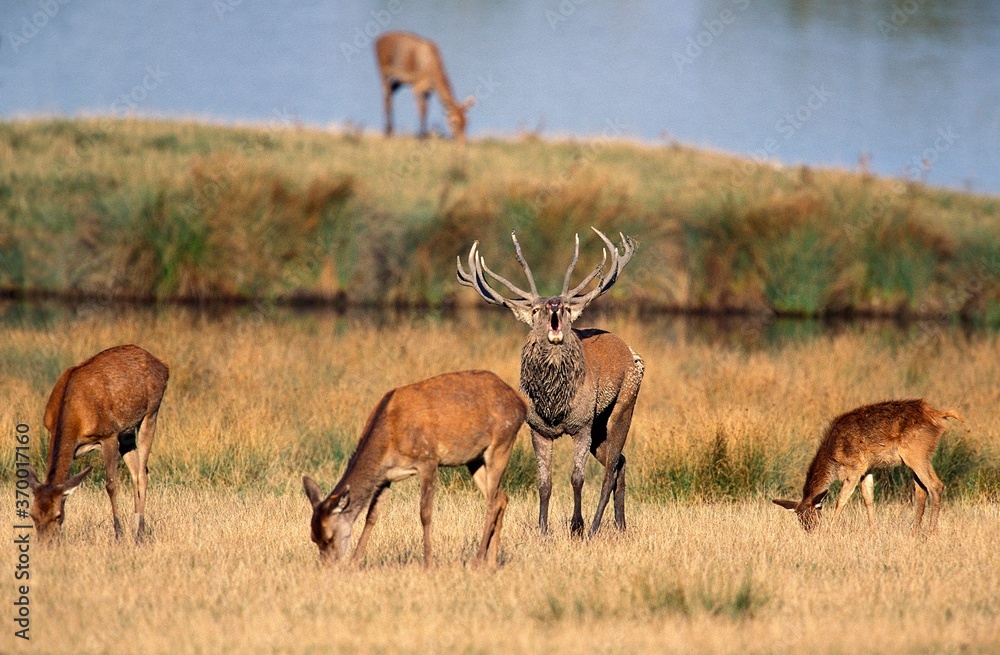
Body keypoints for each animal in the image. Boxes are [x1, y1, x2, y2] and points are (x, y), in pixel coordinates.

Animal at [26, 344, 169, 543]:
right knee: (136, 470)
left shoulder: (108, 434)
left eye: (58, 515)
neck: (75, 417)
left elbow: (111, 484)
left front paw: (119, 535)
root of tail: (164, 366)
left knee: (142, 471)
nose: (46, 543)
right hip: (127, 433)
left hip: (151, 413)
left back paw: (139, 534)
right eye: (32, 514)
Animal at [302, 370, 526, 568]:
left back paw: (478, 560)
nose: (328, 567)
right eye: (313, 537)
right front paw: (356, 561)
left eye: (329, 537)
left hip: (502, 443)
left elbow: (425, 513)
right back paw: (491, 563)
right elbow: (371, 516)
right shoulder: (386, 476)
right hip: (475, 459)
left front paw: (428, 562)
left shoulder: (428, 458)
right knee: (501, 497)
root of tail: (521, 402)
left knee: (492, 502)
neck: (389, 437)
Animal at [457, 228, 644, 538]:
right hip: (599, 425)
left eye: (567, 308)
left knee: (609, 471)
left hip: (623, 404)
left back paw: (594, 527)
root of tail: (632, 352)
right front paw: (542, 528)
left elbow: (577, 478)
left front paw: (576, 526)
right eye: (534, 310)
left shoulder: (581, 424)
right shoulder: (537, 428)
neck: (554, 404)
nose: (554, 303)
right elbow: (544, 483)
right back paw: (620, 525)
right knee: (621, 461)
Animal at [773, 399, 963, 535]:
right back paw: (915, 532)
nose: (811, 533)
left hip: (915, 453)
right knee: (921, 491)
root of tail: (938, 415)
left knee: (935, 485)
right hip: (918, 457)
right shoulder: (867, 468)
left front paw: (830, 531)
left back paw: (931, 533)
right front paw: (873, 531)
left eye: (813, 516)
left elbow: (841, 499)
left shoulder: (855, 466)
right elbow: (868, 499)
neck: (833, 457)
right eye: (800, 520)